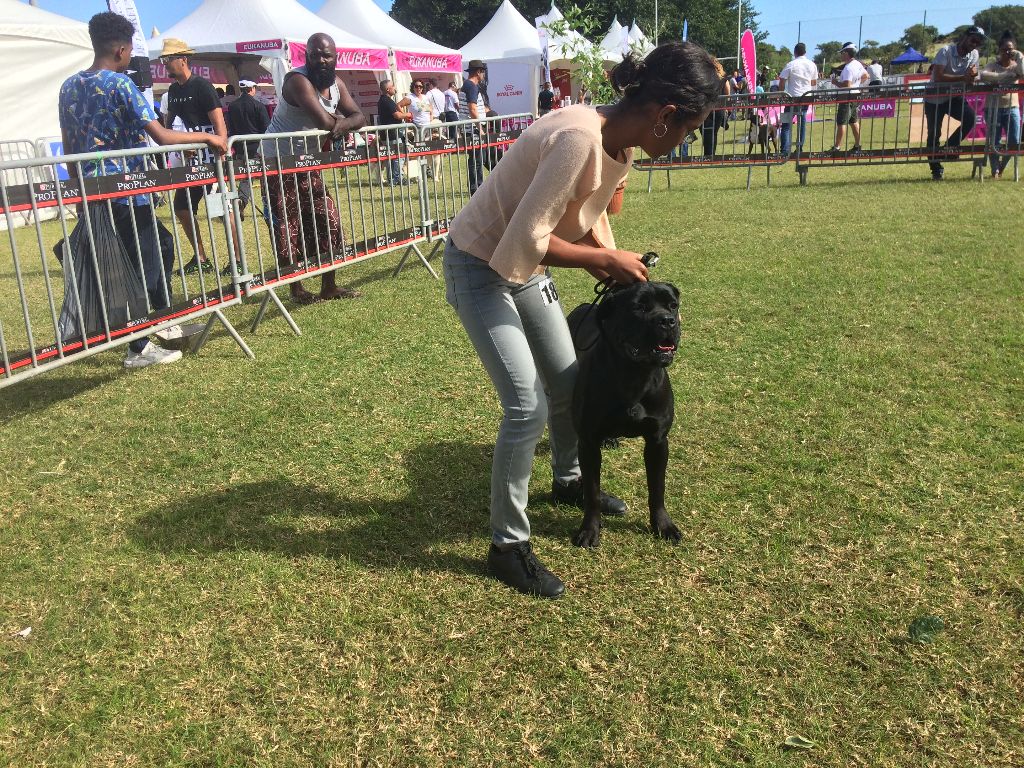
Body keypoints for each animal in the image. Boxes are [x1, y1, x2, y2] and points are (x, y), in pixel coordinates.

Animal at [569, 280, 679, 548]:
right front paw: (589, 531)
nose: (667, 321)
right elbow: (592, 493)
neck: (635, 373)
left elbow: (657, 488)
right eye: (639, 307)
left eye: (673, 305)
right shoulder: (588, 443)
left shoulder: (658, 442)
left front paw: (663, 525)